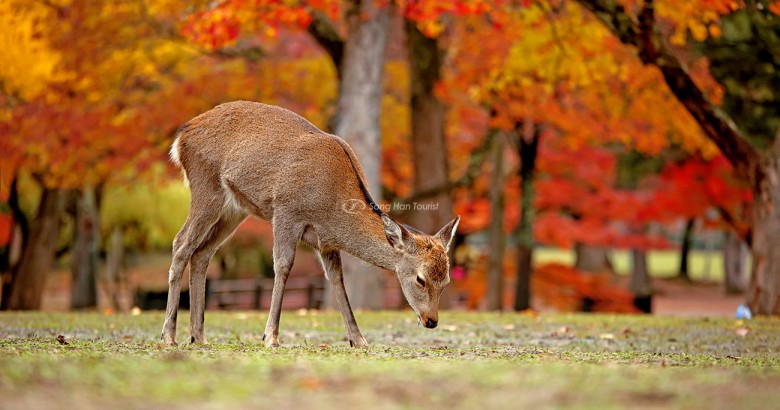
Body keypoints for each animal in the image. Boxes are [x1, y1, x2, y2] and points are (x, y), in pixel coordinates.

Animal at [161, 101, 460, 348]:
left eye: (445, 279)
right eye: (420, 278)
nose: (432, 320)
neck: (331, 207)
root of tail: (181, 137)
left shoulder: (324, 241)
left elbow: (337, 279)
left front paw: (358, 340)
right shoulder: (286, 211)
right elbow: (283, 266)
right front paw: (270, 336)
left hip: (234, 209)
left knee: (202, 253)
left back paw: (198, 336)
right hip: (206, 185)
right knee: (181, 243)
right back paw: (169, 335)